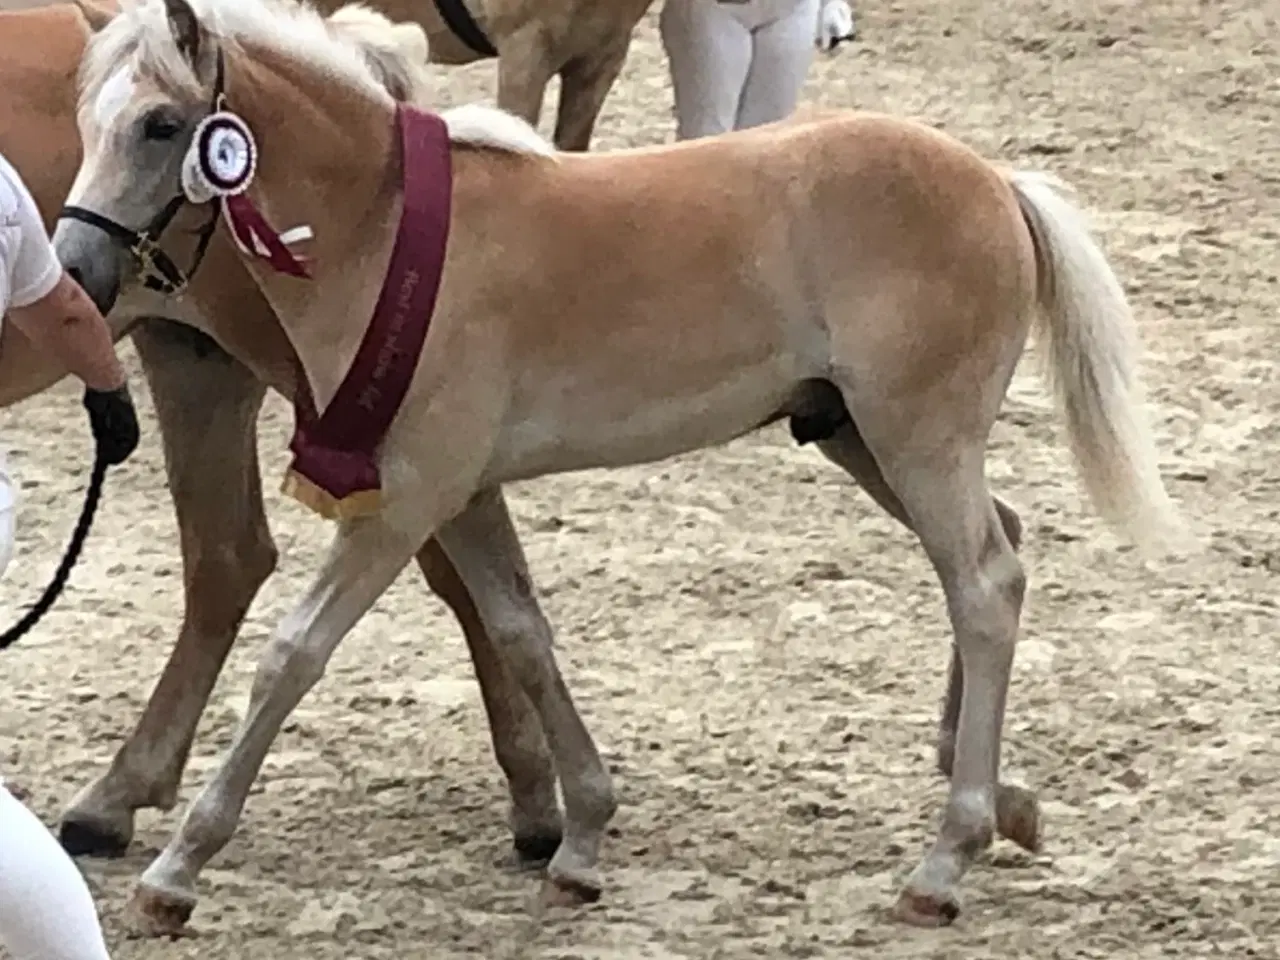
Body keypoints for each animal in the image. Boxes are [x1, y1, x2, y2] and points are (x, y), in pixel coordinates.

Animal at [57, 0, 1177, 936]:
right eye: (87, 117)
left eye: (161, 125)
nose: (75, 271)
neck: (384, 235)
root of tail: (995, 182)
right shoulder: (462, 493)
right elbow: (521, 632)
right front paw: (582, 836)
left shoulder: (405, 498)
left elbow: (292, 656)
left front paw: (175, 872)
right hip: (863, 436)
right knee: (998, 552)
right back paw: (1001, 802)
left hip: (915, 435)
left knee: (983, 586)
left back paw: (944, 860)